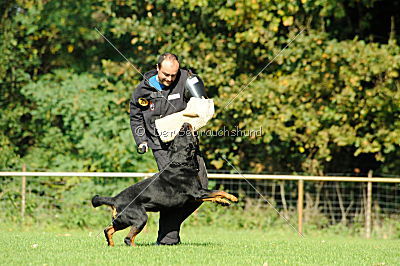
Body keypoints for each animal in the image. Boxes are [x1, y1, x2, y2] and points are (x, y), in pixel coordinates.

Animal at [92, 123, 238, 246]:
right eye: (184, 132)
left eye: (180, 133)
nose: (185, 123)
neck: (180, 163)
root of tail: (115, 199)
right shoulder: (197, 192)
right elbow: (217, 191)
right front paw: (232, 197)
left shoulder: (196, 195)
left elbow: (213, 195)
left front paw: (223, 202)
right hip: (139, 217)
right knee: (127, 238)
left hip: (122, 219)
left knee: (108, 230)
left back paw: (111, 245)